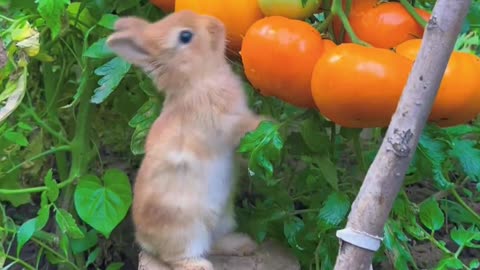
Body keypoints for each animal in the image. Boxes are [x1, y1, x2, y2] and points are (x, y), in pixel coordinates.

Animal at [106, 10, 266, 268]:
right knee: (177, 256)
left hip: (222, 218)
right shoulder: (228, 124)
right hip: (186, 229)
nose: (217, 25)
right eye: (185, 36)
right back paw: (201, 265)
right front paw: (270, 126)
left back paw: (243, 244)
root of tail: (144, 240)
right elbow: (244, 128)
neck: (197, 80)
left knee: (214, 243)